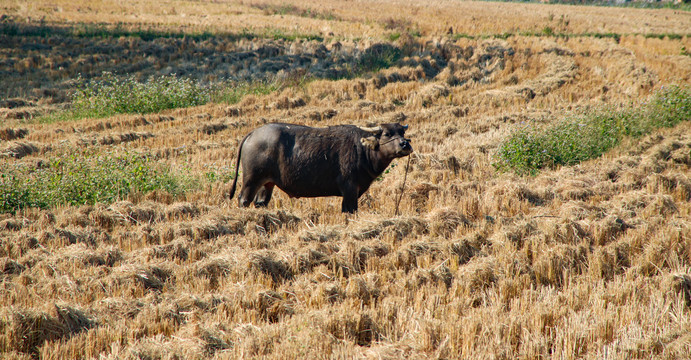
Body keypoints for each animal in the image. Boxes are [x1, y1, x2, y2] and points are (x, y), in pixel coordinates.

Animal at [227, 122, 414, 212]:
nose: (405, 144)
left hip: (267, 183)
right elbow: (349, 210)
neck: (362, 149)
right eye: (387, 134)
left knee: (260, 202)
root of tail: (252, 134)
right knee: (243, 200)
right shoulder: (350, 189)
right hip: (251, 180)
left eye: (402, 132)